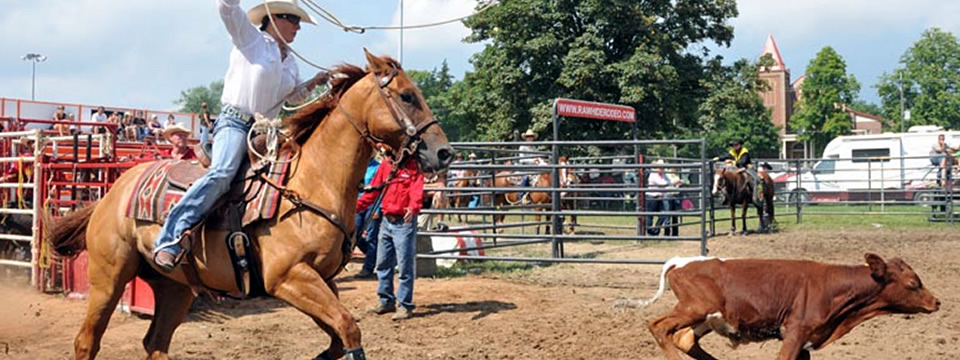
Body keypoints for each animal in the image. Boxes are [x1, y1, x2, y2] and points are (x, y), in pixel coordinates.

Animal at [41, 51, 454, 360]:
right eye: (407, 96)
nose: (444, 152)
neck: (311, 182)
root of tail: (113, 192)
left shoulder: (321, 279)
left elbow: (339, 338)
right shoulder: (288, 277)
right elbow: (349, 330)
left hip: (174, 287)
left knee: (155, 343)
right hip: (108, 277)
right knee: (87, 341)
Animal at [620, 255, 940, 358]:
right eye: (913, 283)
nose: (936, 302)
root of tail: (680, 261)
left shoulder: (805, 342)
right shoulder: (796, 332)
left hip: (706, 318)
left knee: (684, 339)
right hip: (693, 308)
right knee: (658, 326)